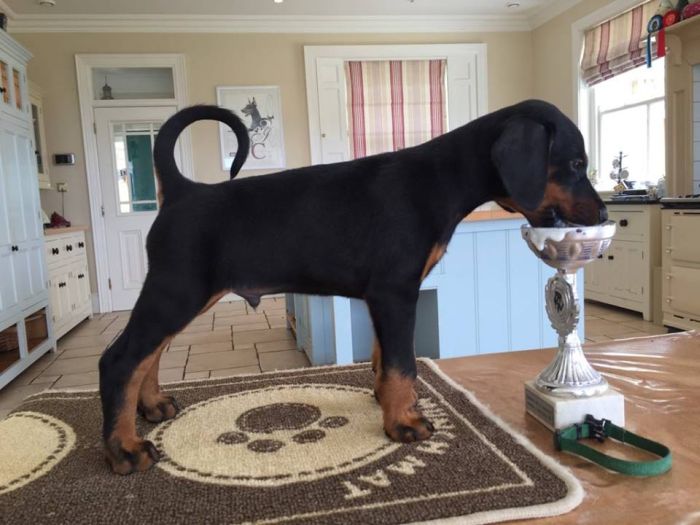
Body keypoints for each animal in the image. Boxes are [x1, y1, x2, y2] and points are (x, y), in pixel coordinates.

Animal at [98, 99, 608, 474]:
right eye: (575, 162)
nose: (605, 213)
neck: (439, 181)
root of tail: (182, 192)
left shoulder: (384, 297)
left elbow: (385, 358)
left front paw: (388, 403)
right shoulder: (396, 291)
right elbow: (403, 363)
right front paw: (404, 424)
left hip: (183, 295)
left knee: (150, 353)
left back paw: (153, 406)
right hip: (178, 291)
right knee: (121, 359)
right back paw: (124, 449)